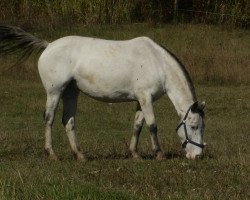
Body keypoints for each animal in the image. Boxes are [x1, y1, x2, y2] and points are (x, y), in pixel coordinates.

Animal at [0, 25, 205, 160]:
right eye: (194, 126)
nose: (197, 156)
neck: (157, 62)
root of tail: (48, 45)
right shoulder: (146, 98)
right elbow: (152, 125)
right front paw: (159, 154)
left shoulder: (141, 99)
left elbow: (137, 125)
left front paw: (134, 154)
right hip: (54, 92)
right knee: (49, 119)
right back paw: (52, 154)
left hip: (70, 92)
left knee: (68, 121)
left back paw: (80, 155)